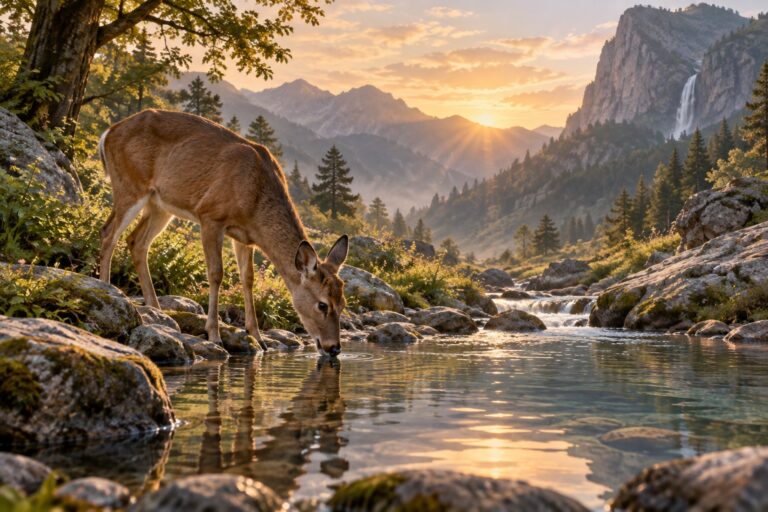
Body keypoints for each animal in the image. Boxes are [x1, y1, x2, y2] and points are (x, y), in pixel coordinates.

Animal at [98, 109, 348, 357]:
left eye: (343, 303)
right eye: (322, 304)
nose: (334, 347)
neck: (254, 199)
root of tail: (108, 133)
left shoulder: (246, 237)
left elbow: (248, 278)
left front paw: (258, 337)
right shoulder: (210, 216)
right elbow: (216, 273)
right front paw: (214, 334)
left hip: (159, 204)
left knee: (136, 241)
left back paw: (157, 310)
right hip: (129, 184)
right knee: (108, 233)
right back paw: (109, 290)